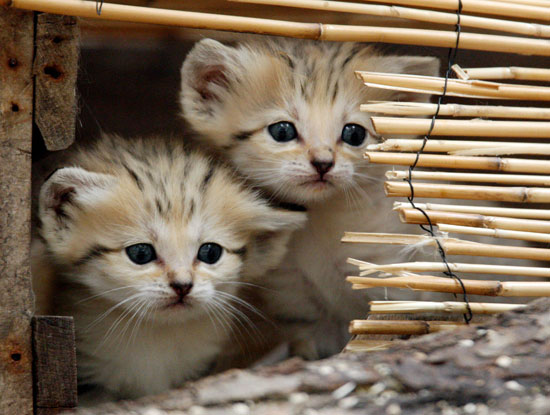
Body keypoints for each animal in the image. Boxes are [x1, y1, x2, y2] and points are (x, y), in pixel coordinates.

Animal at [179, 38, 440, 359]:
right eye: (282, 130)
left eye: (354, 133)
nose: (323, 162)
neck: (318, 224)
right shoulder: (297, 300)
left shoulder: (387, 276)